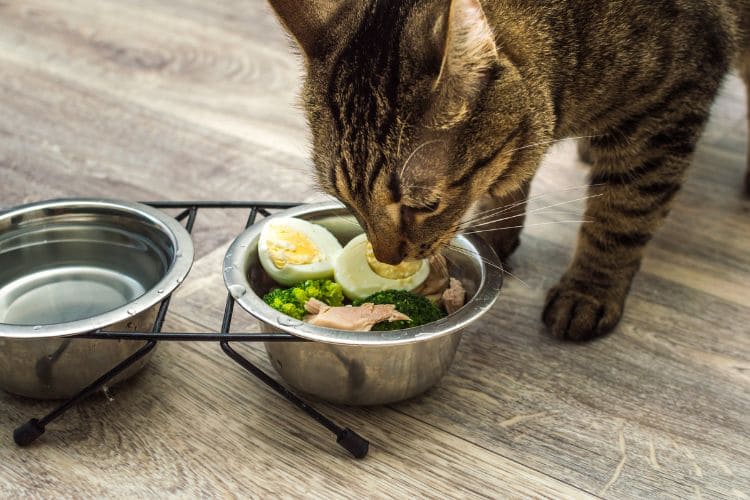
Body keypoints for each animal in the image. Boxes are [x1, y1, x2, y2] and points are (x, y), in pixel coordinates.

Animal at [268, 0, 750, 340]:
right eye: (344, 200)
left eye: (425, 204)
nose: (386, 261)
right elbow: (510, 179)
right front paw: (496, 233)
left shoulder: (664, 114)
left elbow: (621, 216)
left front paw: (588, 290)